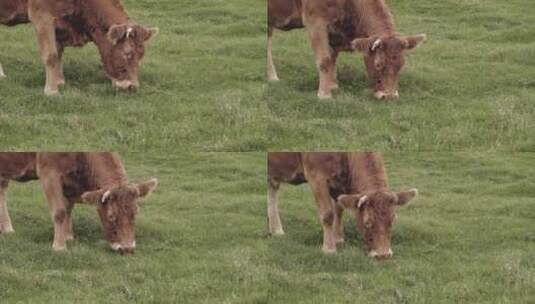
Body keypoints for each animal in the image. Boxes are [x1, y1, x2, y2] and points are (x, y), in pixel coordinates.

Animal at [0, 0, 158, 95]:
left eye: (142, 54)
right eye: (127, 53)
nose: (132, 87)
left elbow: (59, 52)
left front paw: (59, 81)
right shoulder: (42, 15)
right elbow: (51, 55)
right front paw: (51, 91)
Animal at [0, 152, 158, 254]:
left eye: (135, 213)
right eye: (111, 216)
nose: (127, 248)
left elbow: (68, 208)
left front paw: (68, 236)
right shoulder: (49, 173)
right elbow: (60, 212)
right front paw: (59, 246)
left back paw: (7, 228)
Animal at [268, 0, 428, 100]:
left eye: (402, 65)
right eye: (378, 65)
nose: (389, 97)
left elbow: (332, 57)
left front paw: (332, 85)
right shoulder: (315, 22)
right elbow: (324, 59)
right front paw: (324, 94)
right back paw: (272, 76)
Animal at [268, 152, 418, 258]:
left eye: (393, 221)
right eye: (367, 222)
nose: (383, 255)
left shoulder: (339, 181)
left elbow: (339, 208)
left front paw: (338, 238)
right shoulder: (316, 176)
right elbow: (328, 214)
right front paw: (329, 248)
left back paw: (276, 230)